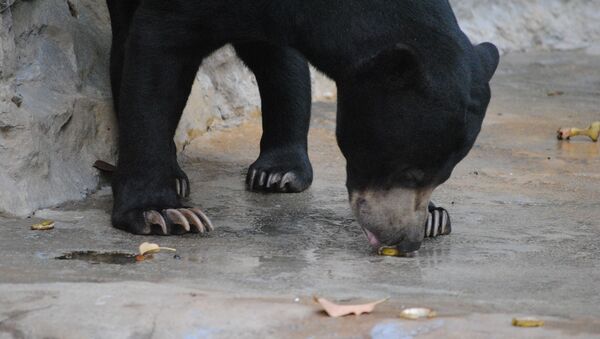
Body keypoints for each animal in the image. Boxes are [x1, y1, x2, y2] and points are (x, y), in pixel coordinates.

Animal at [105, 0, 500, 252]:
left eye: (443, 177)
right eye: (409, 171)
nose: (406, 241)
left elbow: (283, 63)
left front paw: (435, 216)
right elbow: (156, 54)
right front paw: (163, 213)